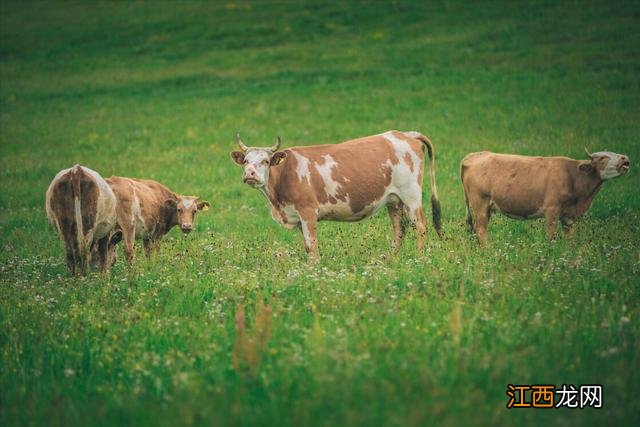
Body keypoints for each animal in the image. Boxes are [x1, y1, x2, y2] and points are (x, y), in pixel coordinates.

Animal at [228, 130, 442, 260]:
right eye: (246, 161)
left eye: (265, 161)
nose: (249, 174)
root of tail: (406, 134)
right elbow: (307, 245)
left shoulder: (308, 211)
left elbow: (311, 245)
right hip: (394, 200)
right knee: (400, 229)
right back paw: (389, 259)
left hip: (411, 195)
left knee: (419, 225)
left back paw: (418, 257)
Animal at [460, 148, 632, 244]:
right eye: (603, 158)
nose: (625, 157)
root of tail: (475, 155)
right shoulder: (552, 210)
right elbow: (551, 236)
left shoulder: (568, 217)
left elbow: (569, 238)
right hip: (480, 204)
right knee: (481, 230)